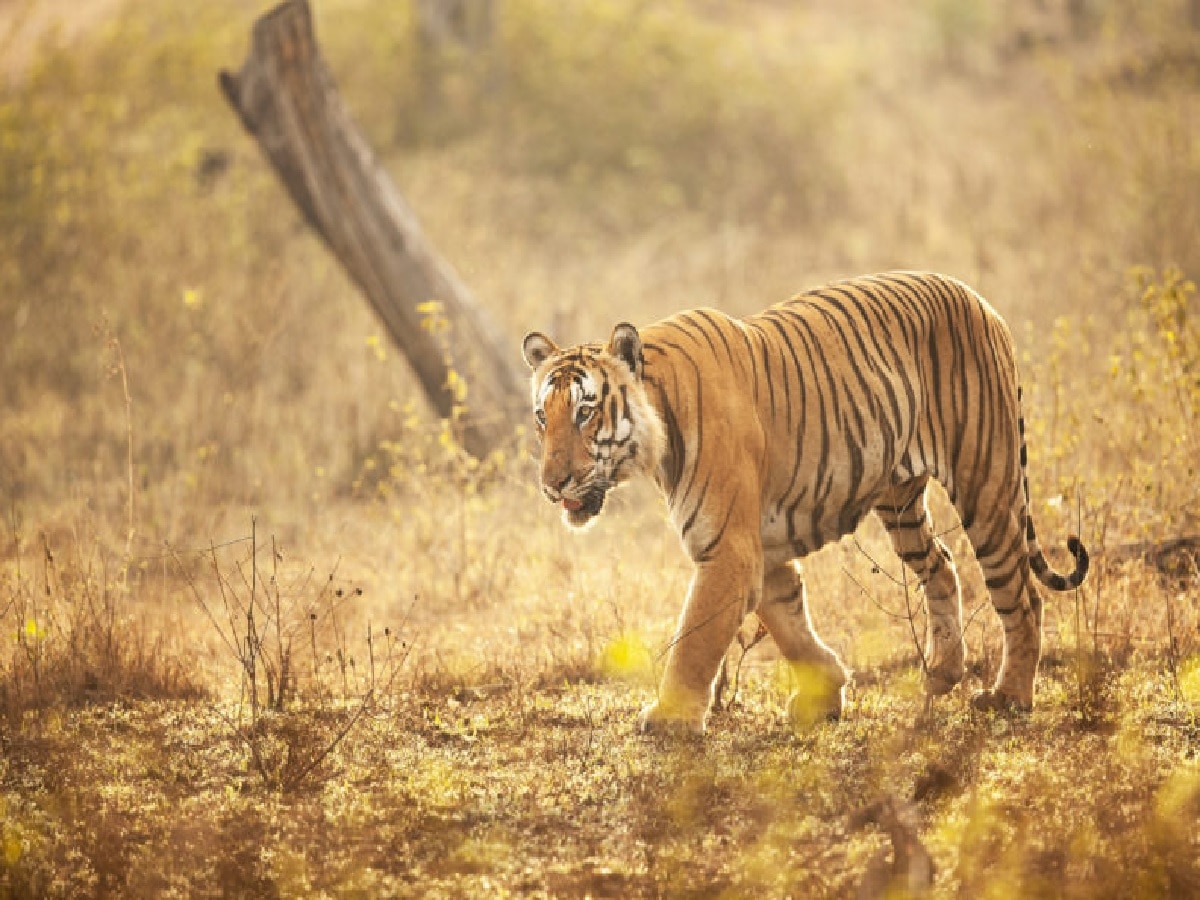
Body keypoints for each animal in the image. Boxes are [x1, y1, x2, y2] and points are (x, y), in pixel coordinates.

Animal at [518, 271, 1089, 734]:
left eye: (586, 412)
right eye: (543, 417)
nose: (553, 484)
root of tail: (980, 300)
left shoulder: (727, 549)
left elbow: (696, 637)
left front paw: (670, 719)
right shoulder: (761, 547)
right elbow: (788, 621)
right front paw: (827, 691)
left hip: (986, 484)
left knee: (1021, 593)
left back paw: (1009, 696)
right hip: (900, 501)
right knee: (943, 565)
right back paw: (943, 672)